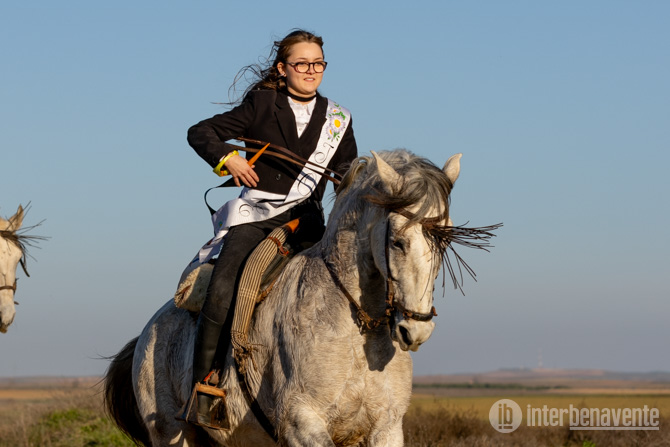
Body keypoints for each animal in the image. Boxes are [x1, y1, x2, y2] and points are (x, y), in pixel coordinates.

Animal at [104, 150, 499, 446]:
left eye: (445, 240)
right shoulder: (302, 425)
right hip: (173, 434)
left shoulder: (386, 429)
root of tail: (149, 330)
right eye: (398, 241)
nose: (416, 331)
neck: (356, 332)